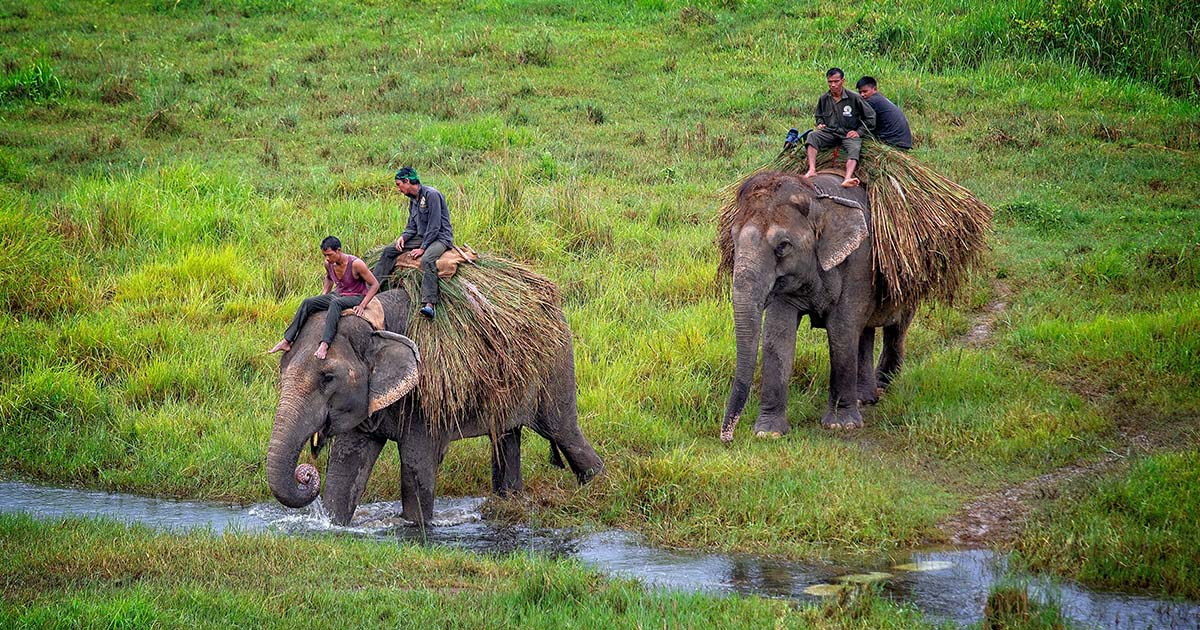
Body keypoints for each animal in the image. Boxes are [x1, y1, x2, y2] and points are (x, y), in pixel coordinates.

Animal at [266, 288, 604, 526]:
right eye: (282, 368)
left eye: (328, 377)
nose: (305, 474)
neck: (377, 322)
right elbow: (346, 466)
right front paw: (335, 525)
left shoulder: (426, 391)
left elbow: (416, 466)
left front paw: (416, 527)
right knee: (507, 438)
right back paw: (508, 503)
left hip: (555, 364)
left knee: (563, 432)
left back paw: (597, 486)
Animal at [720, 171, 915, 441]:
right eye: (733, 239)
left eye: (783, 246)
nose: (727, 437)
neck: (816, 196)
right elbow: (777, 337)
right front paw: (769, 433)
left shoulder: (859, 260)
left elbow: (841, 331)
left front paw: (841, 426)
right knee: (864, 331)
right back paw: (865, 398)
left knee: (895, 326)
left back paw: (882, 387)